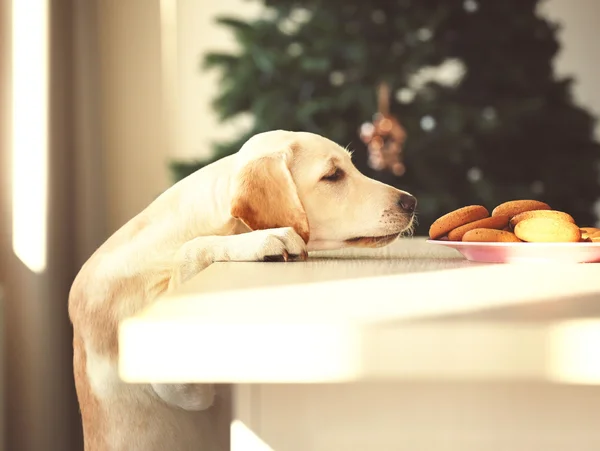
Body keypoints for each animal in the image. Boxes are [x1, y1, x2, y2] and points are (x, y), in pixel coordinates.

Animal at [68, 129, 418, 450]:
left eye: (351, 167)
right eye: (333, 175)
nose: (411, 201)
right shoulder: (176, 383)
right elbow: (190, 250)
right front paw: (265, 239)